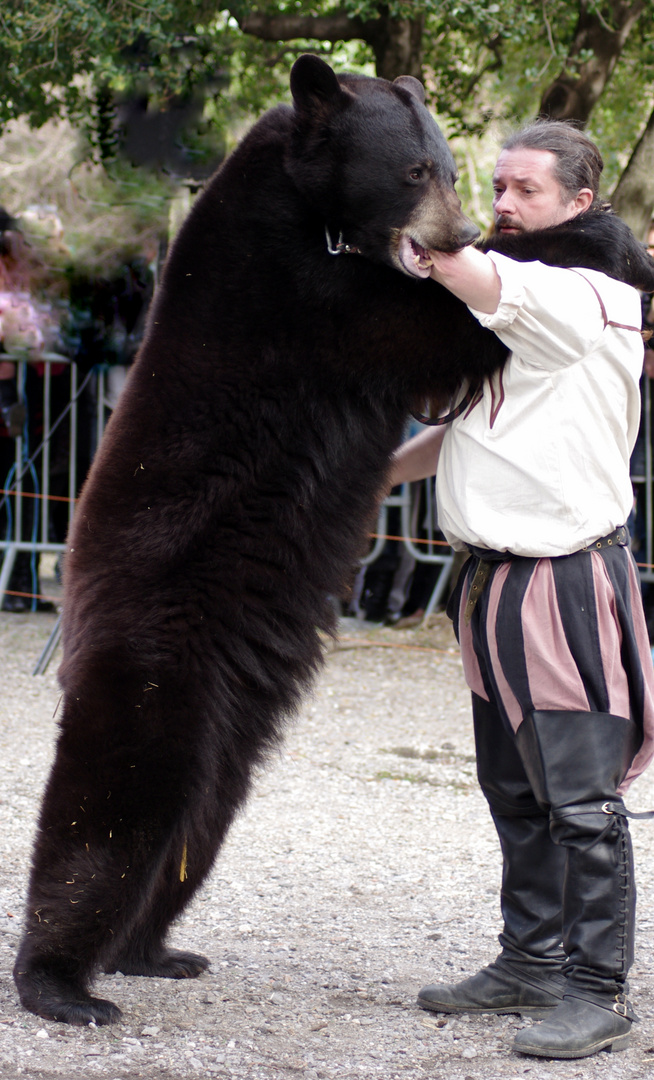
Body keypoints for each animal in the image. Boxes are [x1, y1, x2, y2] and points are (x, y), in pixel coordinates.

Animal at [14, 54, 513, 1023]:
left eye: (446, 163)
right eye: (414, 172)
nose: (465, 231)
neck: (309, 205)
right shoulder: (293, 289)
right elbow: (425, 322)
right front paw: (605, 242)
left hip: (232, 731)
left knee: (191, 828)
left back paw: (155, 952)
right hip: (155, 655)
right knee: (109, 805)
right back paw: (59, 985)